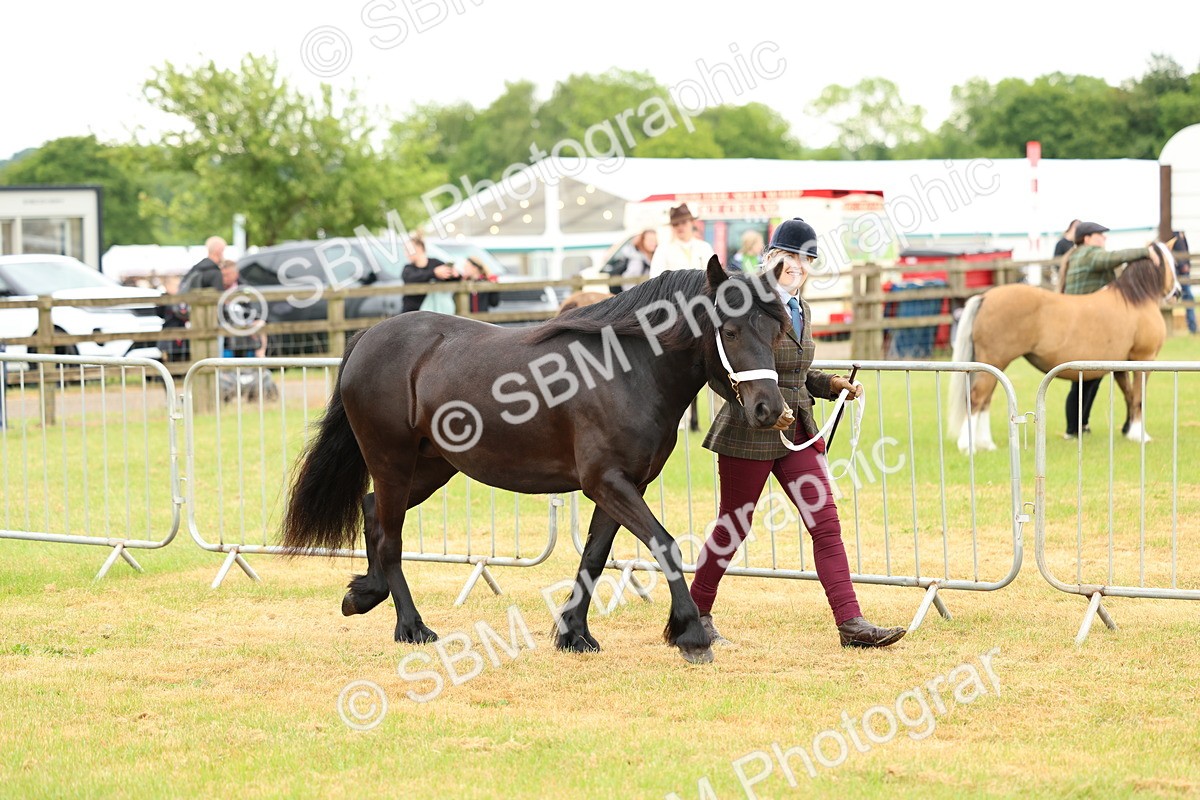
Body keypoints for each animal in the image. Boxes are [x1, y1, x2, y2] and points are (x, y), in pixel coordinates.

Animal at [281, 256, 790, 664]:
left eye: (776, 331)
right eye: (730, 330)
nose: (770, 410)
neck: (626, 372)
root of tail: (370, 336)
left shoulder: (625, 485)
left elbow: (594, 555)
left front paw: (575, 635)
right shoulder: (607, 481)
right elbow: (664, 545)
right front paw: (690, 635)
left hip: (431, 467)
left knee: (372, 511)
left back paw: (364, 595)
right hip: (392, 459)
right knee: (389, 537)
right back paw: (411, 627)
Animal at [948, 241, 1180, 453]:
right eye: (1172, 264)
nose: (1177, 292)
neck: (1135, 301)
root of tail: (985, 297)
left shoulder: (1121, 365)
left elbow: (1130, 397)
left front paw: (1130, 431)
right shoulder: (1144, 358)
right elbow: (1139, 398)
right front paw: (1140, 436)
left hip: (993, 366)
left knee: (985, 400)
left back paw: (986, 444)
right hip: (995, 361)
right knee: (976, 398)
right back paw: (968, 446)